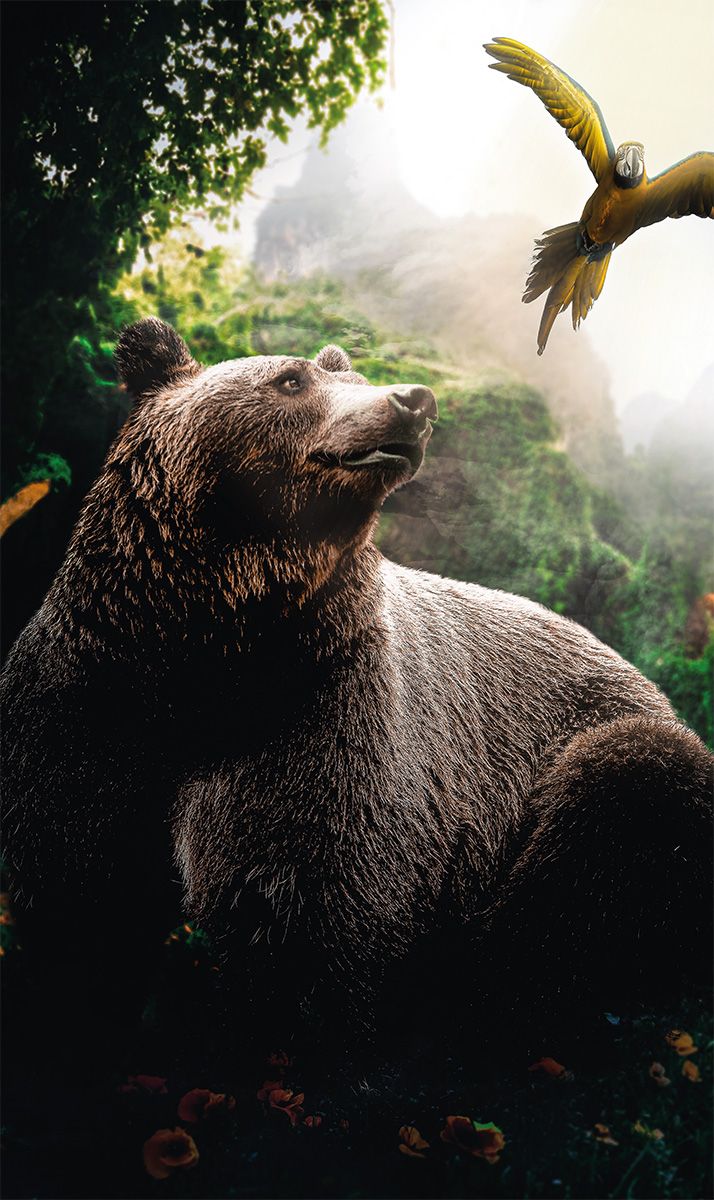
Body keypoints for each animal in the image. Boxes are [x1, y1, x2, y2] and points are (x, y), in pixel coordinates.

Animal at [1, 317, 711, 1073]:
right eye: (291, 378)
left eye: (355, 375)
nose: (414, 401)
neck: (211, 645)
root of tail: (640, 676)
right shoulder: (91, 701)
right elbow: (80, 895)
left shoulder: (324, 716)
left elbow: (313, 906)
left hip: (603, 754)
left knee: (596, 842)